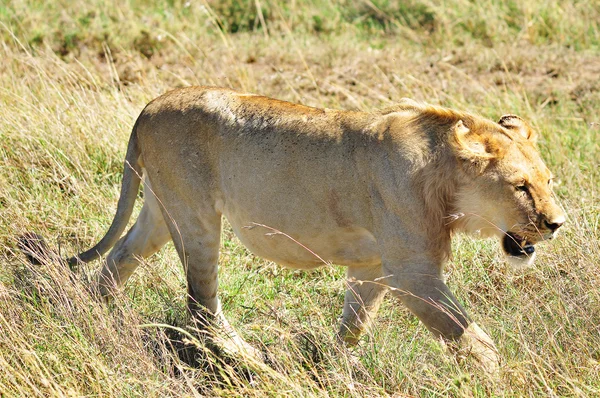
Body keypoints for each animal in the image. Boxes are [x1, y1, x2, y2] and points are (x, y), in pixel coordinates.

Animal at [19, 86, 564, 374]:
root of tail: (154, 102)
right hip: (198, 218)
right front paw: (504, 378)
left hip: (160, 209)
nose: (556, 224)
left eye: (549, 182)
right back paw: (251, 362)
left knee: (116, 263)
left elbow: (353, 326)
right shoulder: (413, 273)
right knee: (201, 306)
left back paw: (93, 321)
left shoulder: (372, 266)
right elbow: (471, 337)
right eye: (520, 187)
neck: (447, 181)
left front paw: (333, 370)